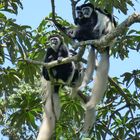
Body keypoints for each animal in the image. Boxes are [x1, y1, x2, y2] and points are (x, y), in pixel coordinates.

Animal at [68, 3, 116, 132]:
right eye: (81, 10)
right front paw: (77, 20)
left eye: (86, 9)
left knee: (90, 30)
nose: (83, 12)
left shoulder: (94, 15)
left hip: (99, 34)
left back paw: (75, 33)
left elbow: (89, 24)